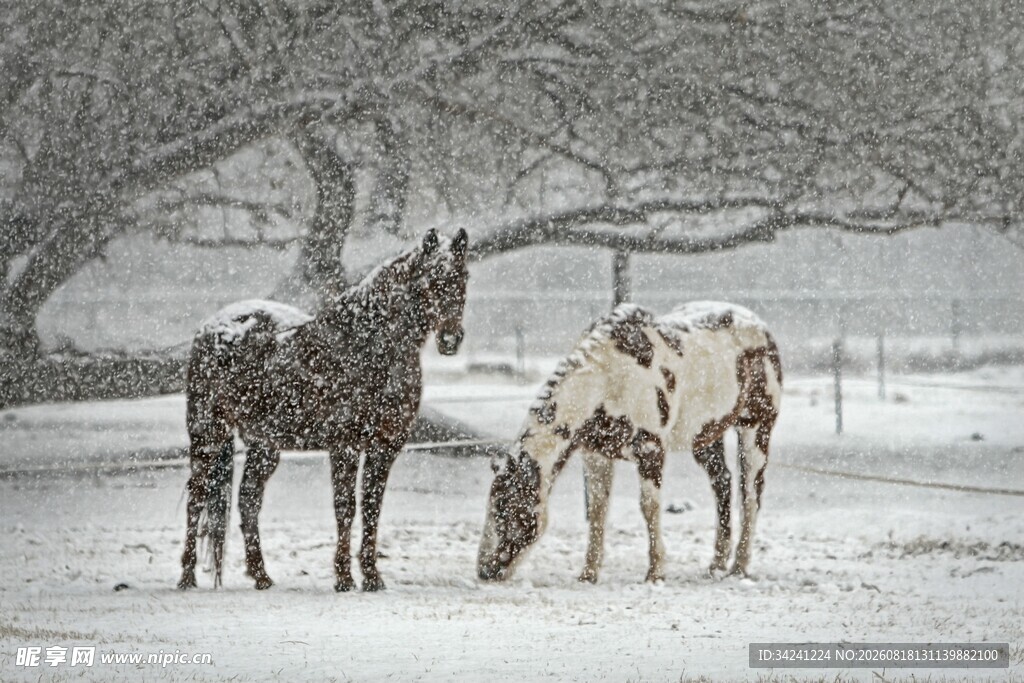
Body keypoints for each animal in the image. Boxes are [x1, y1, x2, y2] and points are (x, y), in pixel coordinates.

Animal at [178, 228, 469, 592]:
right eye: (431, 279)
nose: (451, 339)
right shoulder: (345, 445)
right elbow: (346, 507)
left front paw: (372, 576)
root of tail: (212, 327)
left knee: (248, 500)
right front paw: (344, 577)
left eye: (463, 277)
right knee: (197, 496)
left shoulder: (385, 446)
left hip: (264, 446)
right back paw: (187, 576)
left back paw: (261, 575)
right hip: (208, 433)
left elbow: (372, 507)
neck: (368, 345)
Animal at [478, 301, 782, 584]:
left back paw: (739, 567)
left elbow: (649, 507)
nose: (484, 571)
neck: (608, 378)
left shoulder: (650, 450)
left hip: (756, 429)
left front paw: (656, 573)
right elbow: (597, 511)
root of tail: (761, 327)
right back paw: (716, 565)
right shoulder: (596, 455)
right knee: (723, 484)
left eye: (507, 510)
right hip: (706, 437)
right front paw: (588, 574)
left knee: (751, 493)